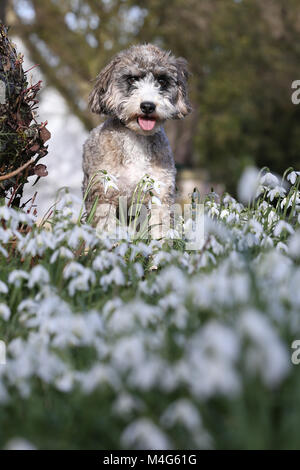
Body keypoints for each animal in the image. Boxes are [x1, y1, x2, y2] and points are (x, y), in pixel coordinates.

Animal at [82, 43, 191, 235]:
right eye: (132, 79)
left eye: (161, 81)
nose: (147, 106)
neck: (137, 139)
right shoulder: (104, 194)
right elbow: (106, 227)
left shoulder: (160, 194)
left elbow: (159, 230)